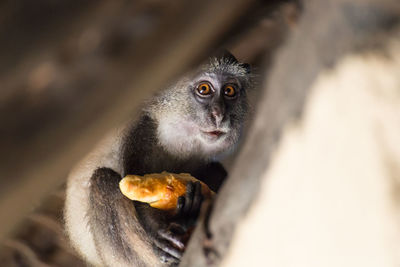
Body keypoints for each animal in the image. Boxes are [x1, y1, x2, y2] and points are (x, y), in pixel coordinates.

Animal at [64, 52, 252, 267]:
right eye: (204, 89)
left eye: (229, 91)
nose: (219, 115)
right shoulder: (141, 134)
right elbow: (137, 188)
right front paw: (160, 234)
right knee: (101, 180)